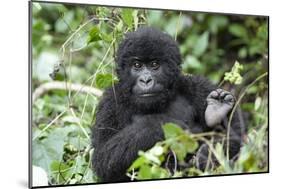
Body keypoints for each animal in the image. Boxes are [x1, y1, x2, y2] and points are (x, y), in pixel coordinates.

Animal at [91, 26, 243, 182]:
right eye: (137, 65)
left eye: (154, 65)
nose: (146, 80)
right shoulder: (110, 102)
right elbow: (103, 158)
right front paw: (161, 124)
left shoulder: (196, 85)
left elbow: (235, 134)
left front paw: (207, 155)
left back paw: (216, 111)